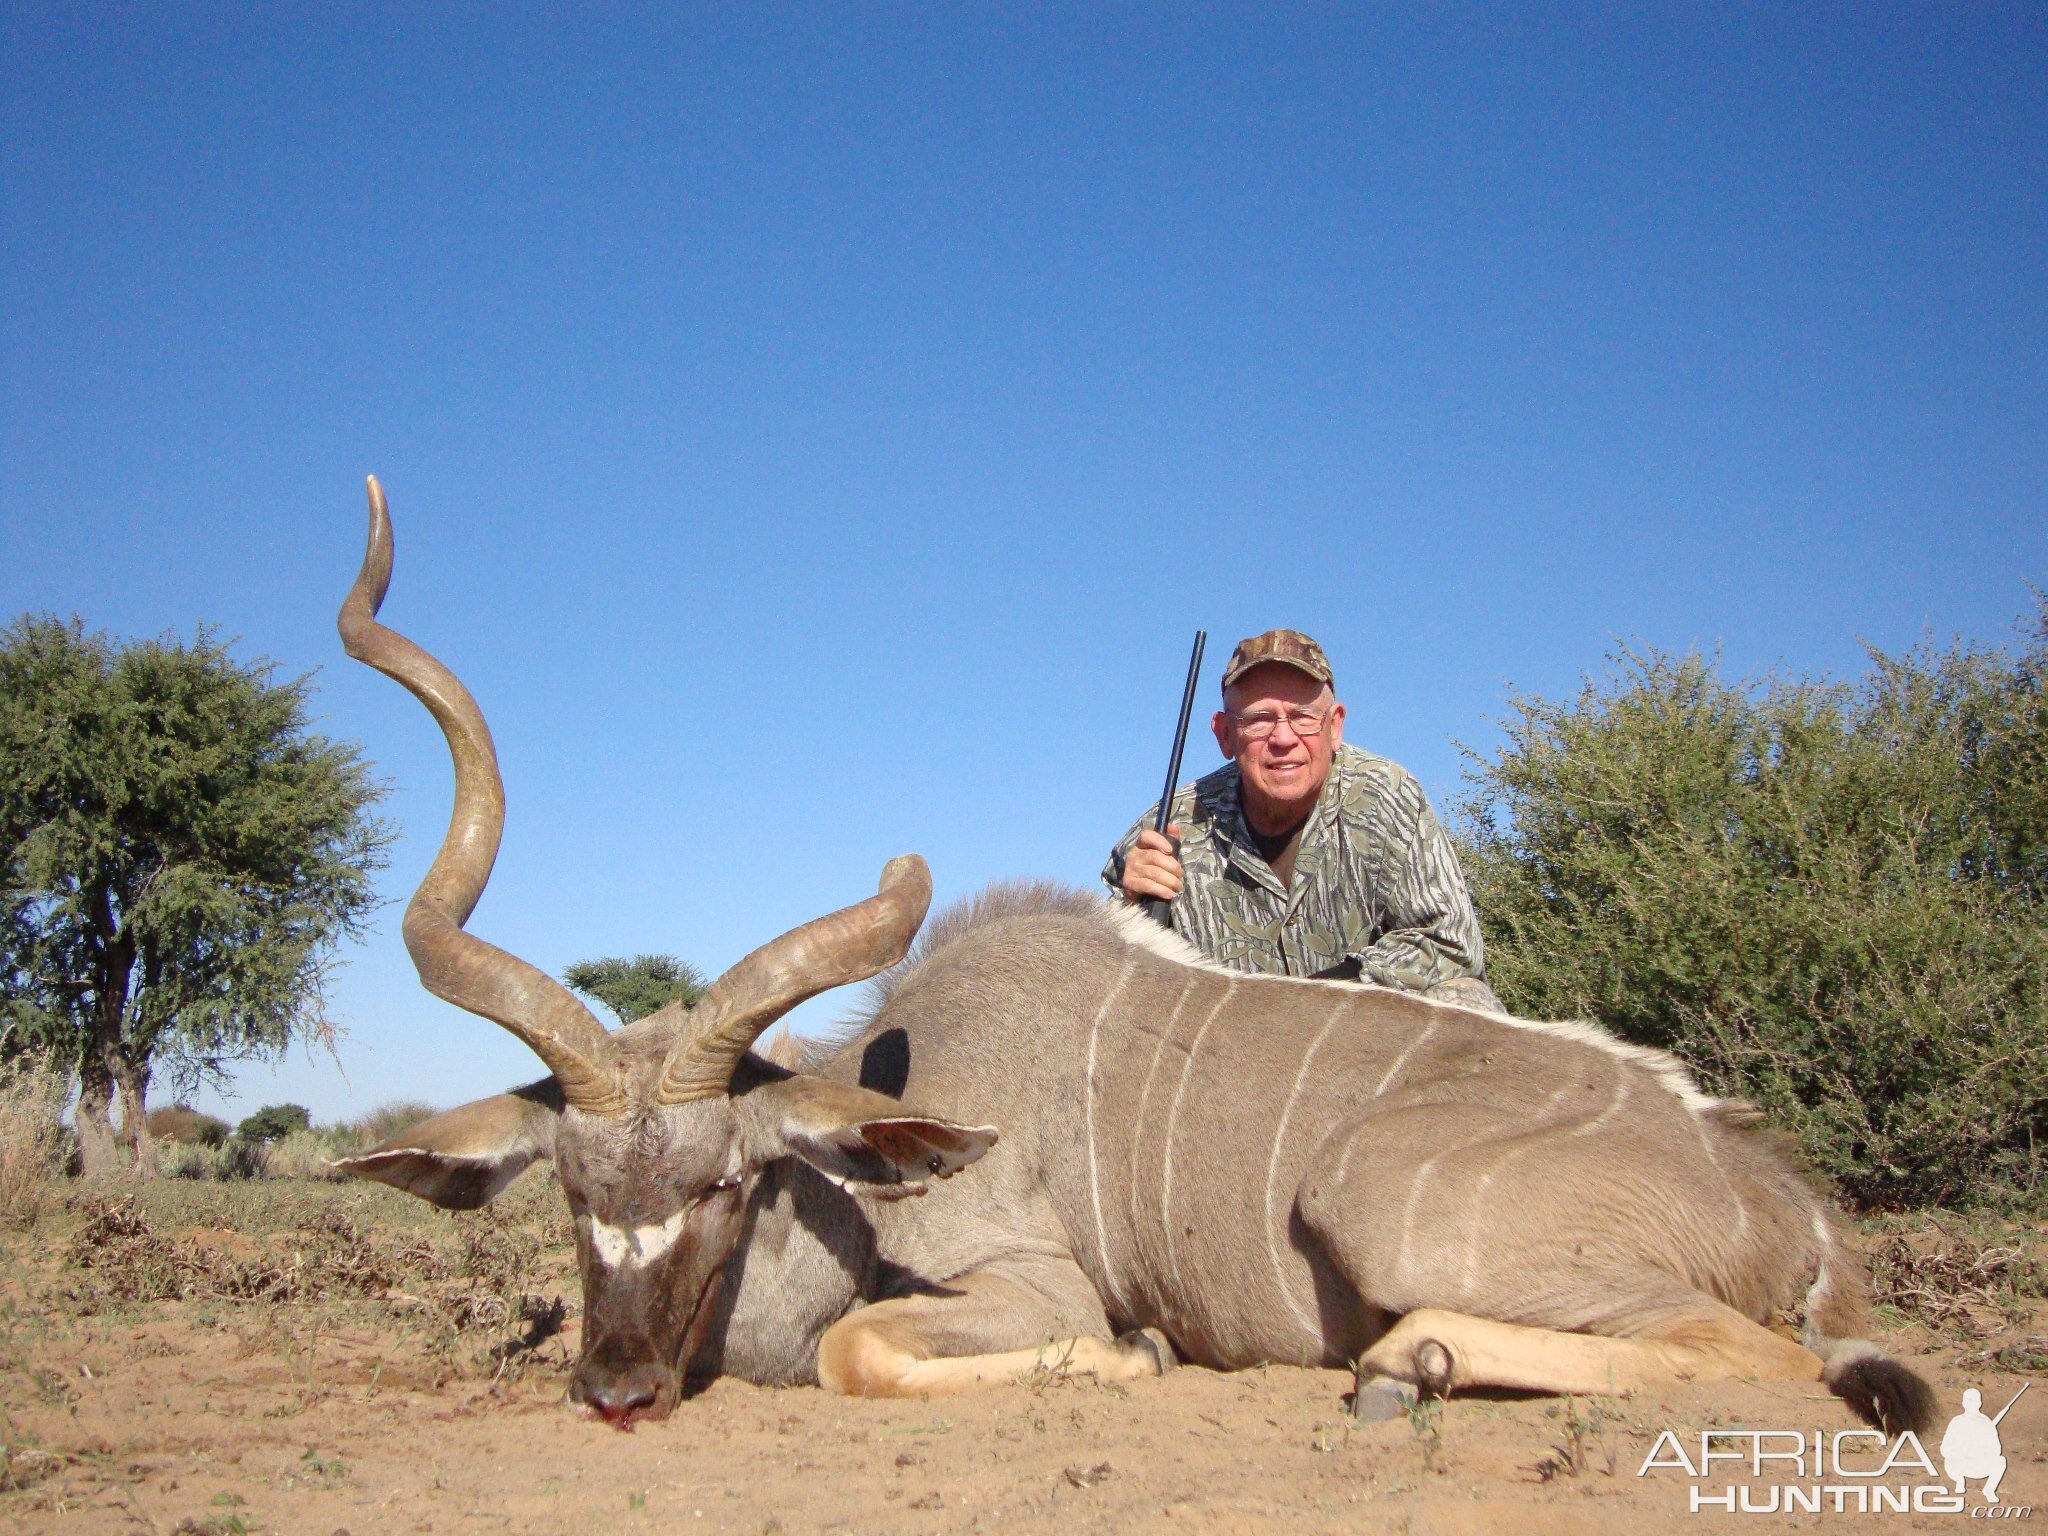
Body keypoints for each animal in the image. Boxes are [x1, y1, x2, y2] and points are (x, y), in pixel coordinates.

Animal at [335, 483, 1933, 1441]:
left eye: (726, 1181)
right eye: (569, 1188)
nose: (615, 1388)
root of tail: (1793, 1213)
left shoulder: (1026, 1286)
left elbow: (870, 1353)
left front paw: (1144, 1356)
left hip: (1382, 1208)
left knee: (1768, 1359)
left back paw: (1403, 1364)